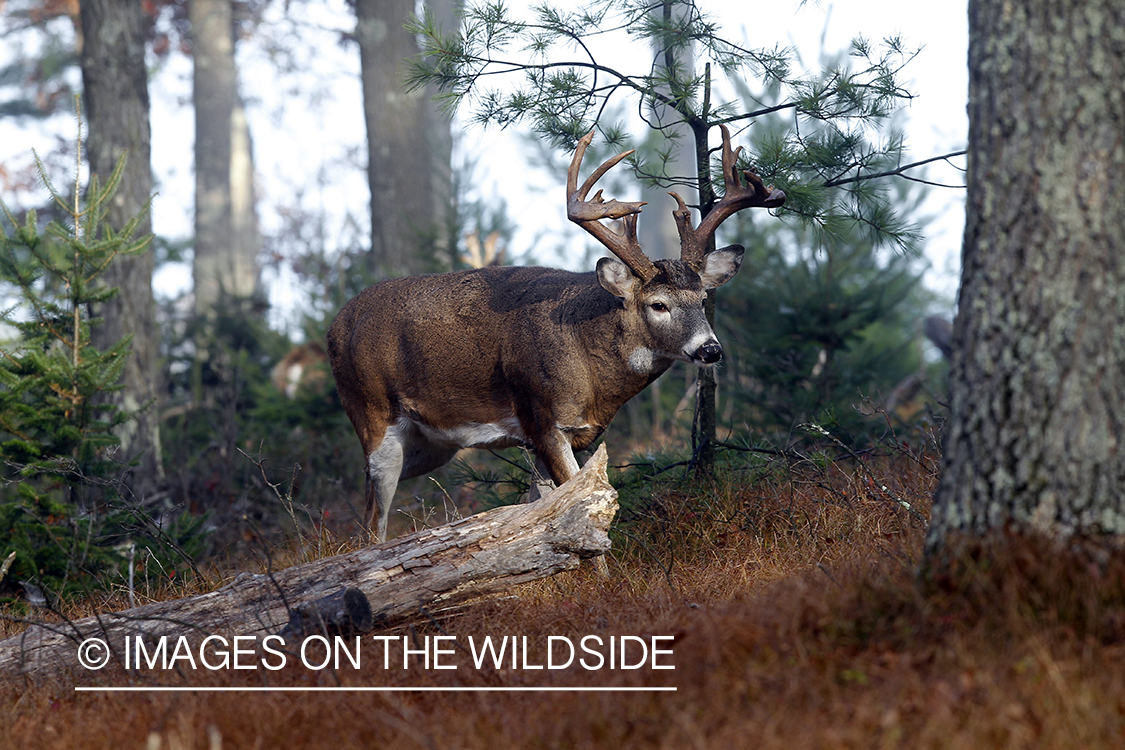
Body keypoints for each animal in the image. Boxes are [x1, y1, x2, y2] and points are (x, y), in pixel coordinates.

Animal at [326, 125, 783, 541]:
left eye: (703, 299)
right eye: (658, 305)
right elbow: (581, 506)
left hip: (430, 445)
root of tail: (334, 326)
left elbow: (545, 512)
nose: (710, 349)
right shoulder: (544, 418)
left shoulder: (557, 437)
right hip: (372, 415)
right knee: (372, 523)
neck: (593, 375)